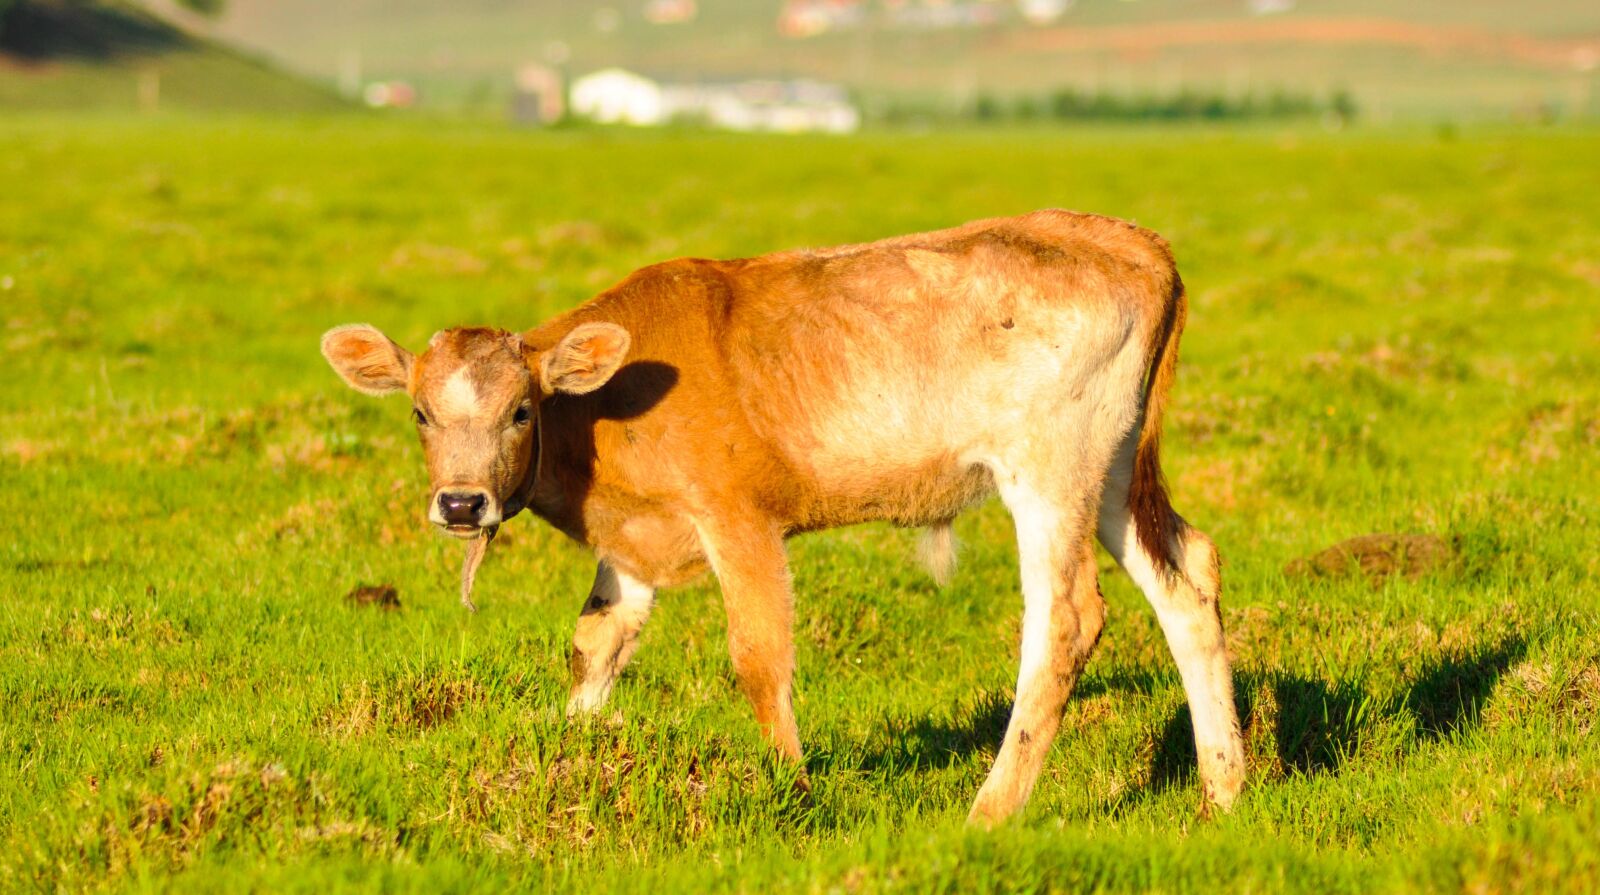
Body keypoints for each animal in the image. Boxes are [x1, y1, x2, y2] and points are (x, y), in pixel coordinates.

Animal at [320, 210, 1246, 824]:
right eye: (419, 414)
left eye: (520, 410)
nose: (460, 502)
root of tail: (1125, 236)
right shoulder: (632, 545)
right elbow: (595, 642)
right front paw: (566, 759)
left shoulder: (738, 516)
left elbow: (759, 657)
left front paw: (793, 790)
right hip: (1113, 468)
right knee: (1186, 577)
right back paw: (1225, 789)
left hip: (1050, 467)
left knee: (1066, 619)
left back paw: (989, 811)